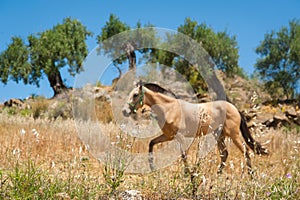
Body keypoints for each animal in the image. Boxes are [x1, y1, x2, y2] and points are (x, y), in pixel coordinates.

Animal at [122, 80, 270, 174]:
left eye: (135, 95)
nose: (125, 111)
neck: (169, 108)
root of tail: (234, 108)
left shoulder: (180, 137)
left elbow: (183, 155)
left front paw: (188, 173)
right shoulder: (169, 136)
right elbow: (151, 144)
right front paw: (152, 167)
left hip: (234, 135)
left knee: (246, 151)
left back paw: (251, 175)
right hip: (219, 136)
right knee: (225, 154)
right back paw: (218, 174)